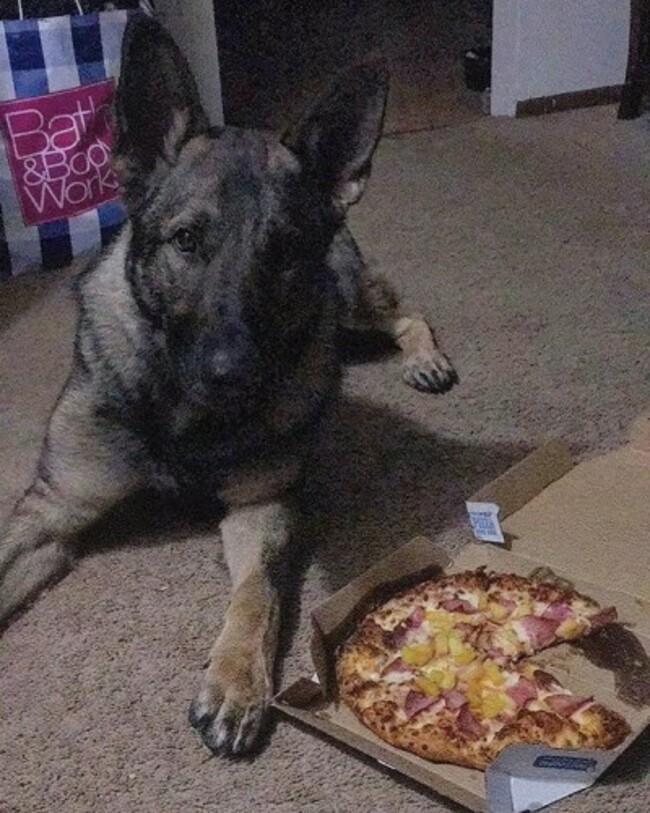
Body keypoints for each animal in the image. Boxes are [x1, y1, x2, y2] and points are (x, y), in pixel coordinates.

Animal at [0, 17, 456, 756]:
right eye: (186, 240)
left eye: (284, 252)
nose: (231, 371)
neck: (182, 412)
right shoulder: (51, 513)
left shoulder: (260, 509)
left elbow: (255, 599)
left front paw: (237, 683)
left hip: (341, 306)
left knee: (403, 313)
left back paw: (424, 359)